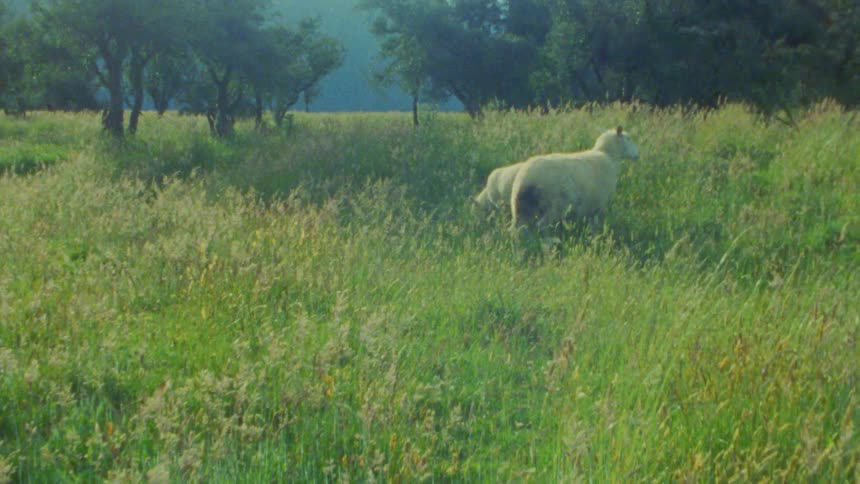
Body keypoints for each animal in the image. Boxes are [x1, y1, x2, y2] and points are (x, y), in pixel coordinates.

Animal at [510, 126, 640, 233]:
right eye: (628, 138)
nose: (638, 155)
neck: (608, 156)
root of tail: (526, 179)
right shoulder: (598, 204)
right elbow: (595, 225)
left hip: (521, 208)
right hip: (553, 206)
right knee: (542, 226)